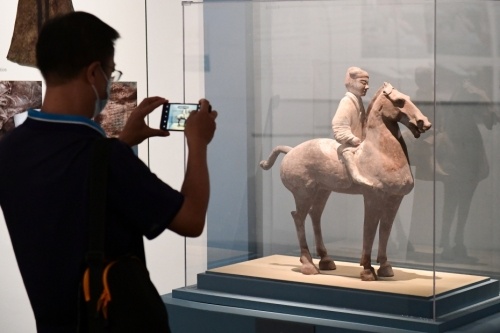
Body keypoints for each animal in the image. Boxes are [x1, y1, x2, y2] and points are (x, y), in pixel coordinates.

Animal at [260, 82, 432, 280]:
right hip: (303, 193)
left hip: (322, 191)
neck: (381, 153)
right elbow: (369, 228)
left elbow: (386, 228)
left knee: (315, 215)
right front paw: (367, 269)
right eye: (399, 101)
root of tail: (290, 151)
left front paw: (385, 267)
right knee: (298, 217)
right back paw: (308, 264)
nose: (424, 123)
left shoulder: (395, 198)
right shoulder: (372, 196)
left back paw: (325, 259)